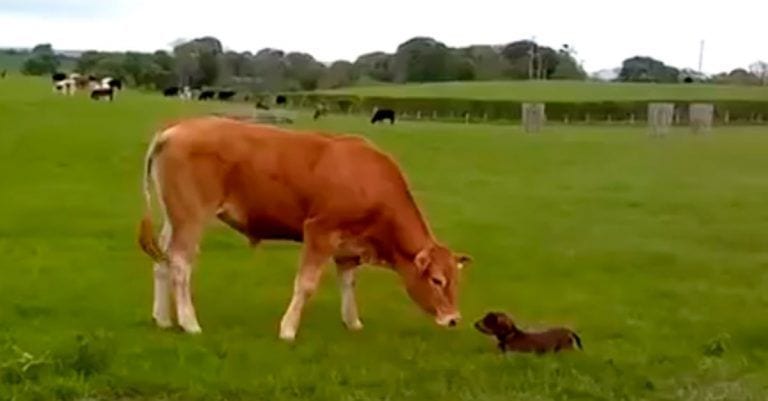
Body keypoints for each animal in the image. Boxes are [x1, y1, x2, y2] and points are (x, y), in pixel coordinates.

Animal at [138, 116, 472, 340]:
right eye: (438, 280)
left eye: (456, 281)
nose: (454, 319)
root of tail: (176, 129)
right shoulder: (320, 232)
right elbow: (306, 284)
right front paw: (288, 329)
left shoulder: (347, 247)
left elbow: (348, 284)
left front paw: (352, 322)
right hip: (192, 216)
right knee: (180, 264)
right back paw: (189, 323)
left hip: (175, 218)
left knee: (162, 262)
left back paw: (163, 318)